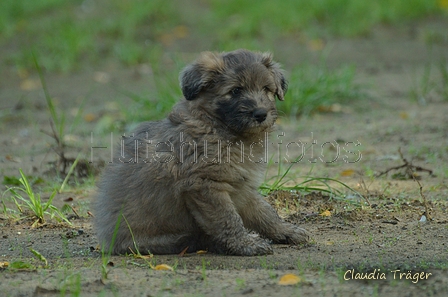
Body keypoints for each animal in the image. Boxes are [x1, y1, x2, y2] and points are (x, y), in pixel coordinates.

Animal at [94, 48, 308, 254]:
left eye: (266, 89)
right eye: (236, 91)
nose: (261, 114)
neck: (217, 126)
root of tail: (108, 242)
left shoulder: (242, 186)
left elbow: (264, 212)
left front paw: (285, 231)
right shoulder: (205, 185)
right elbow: (228, 219)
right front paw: (245, 244)